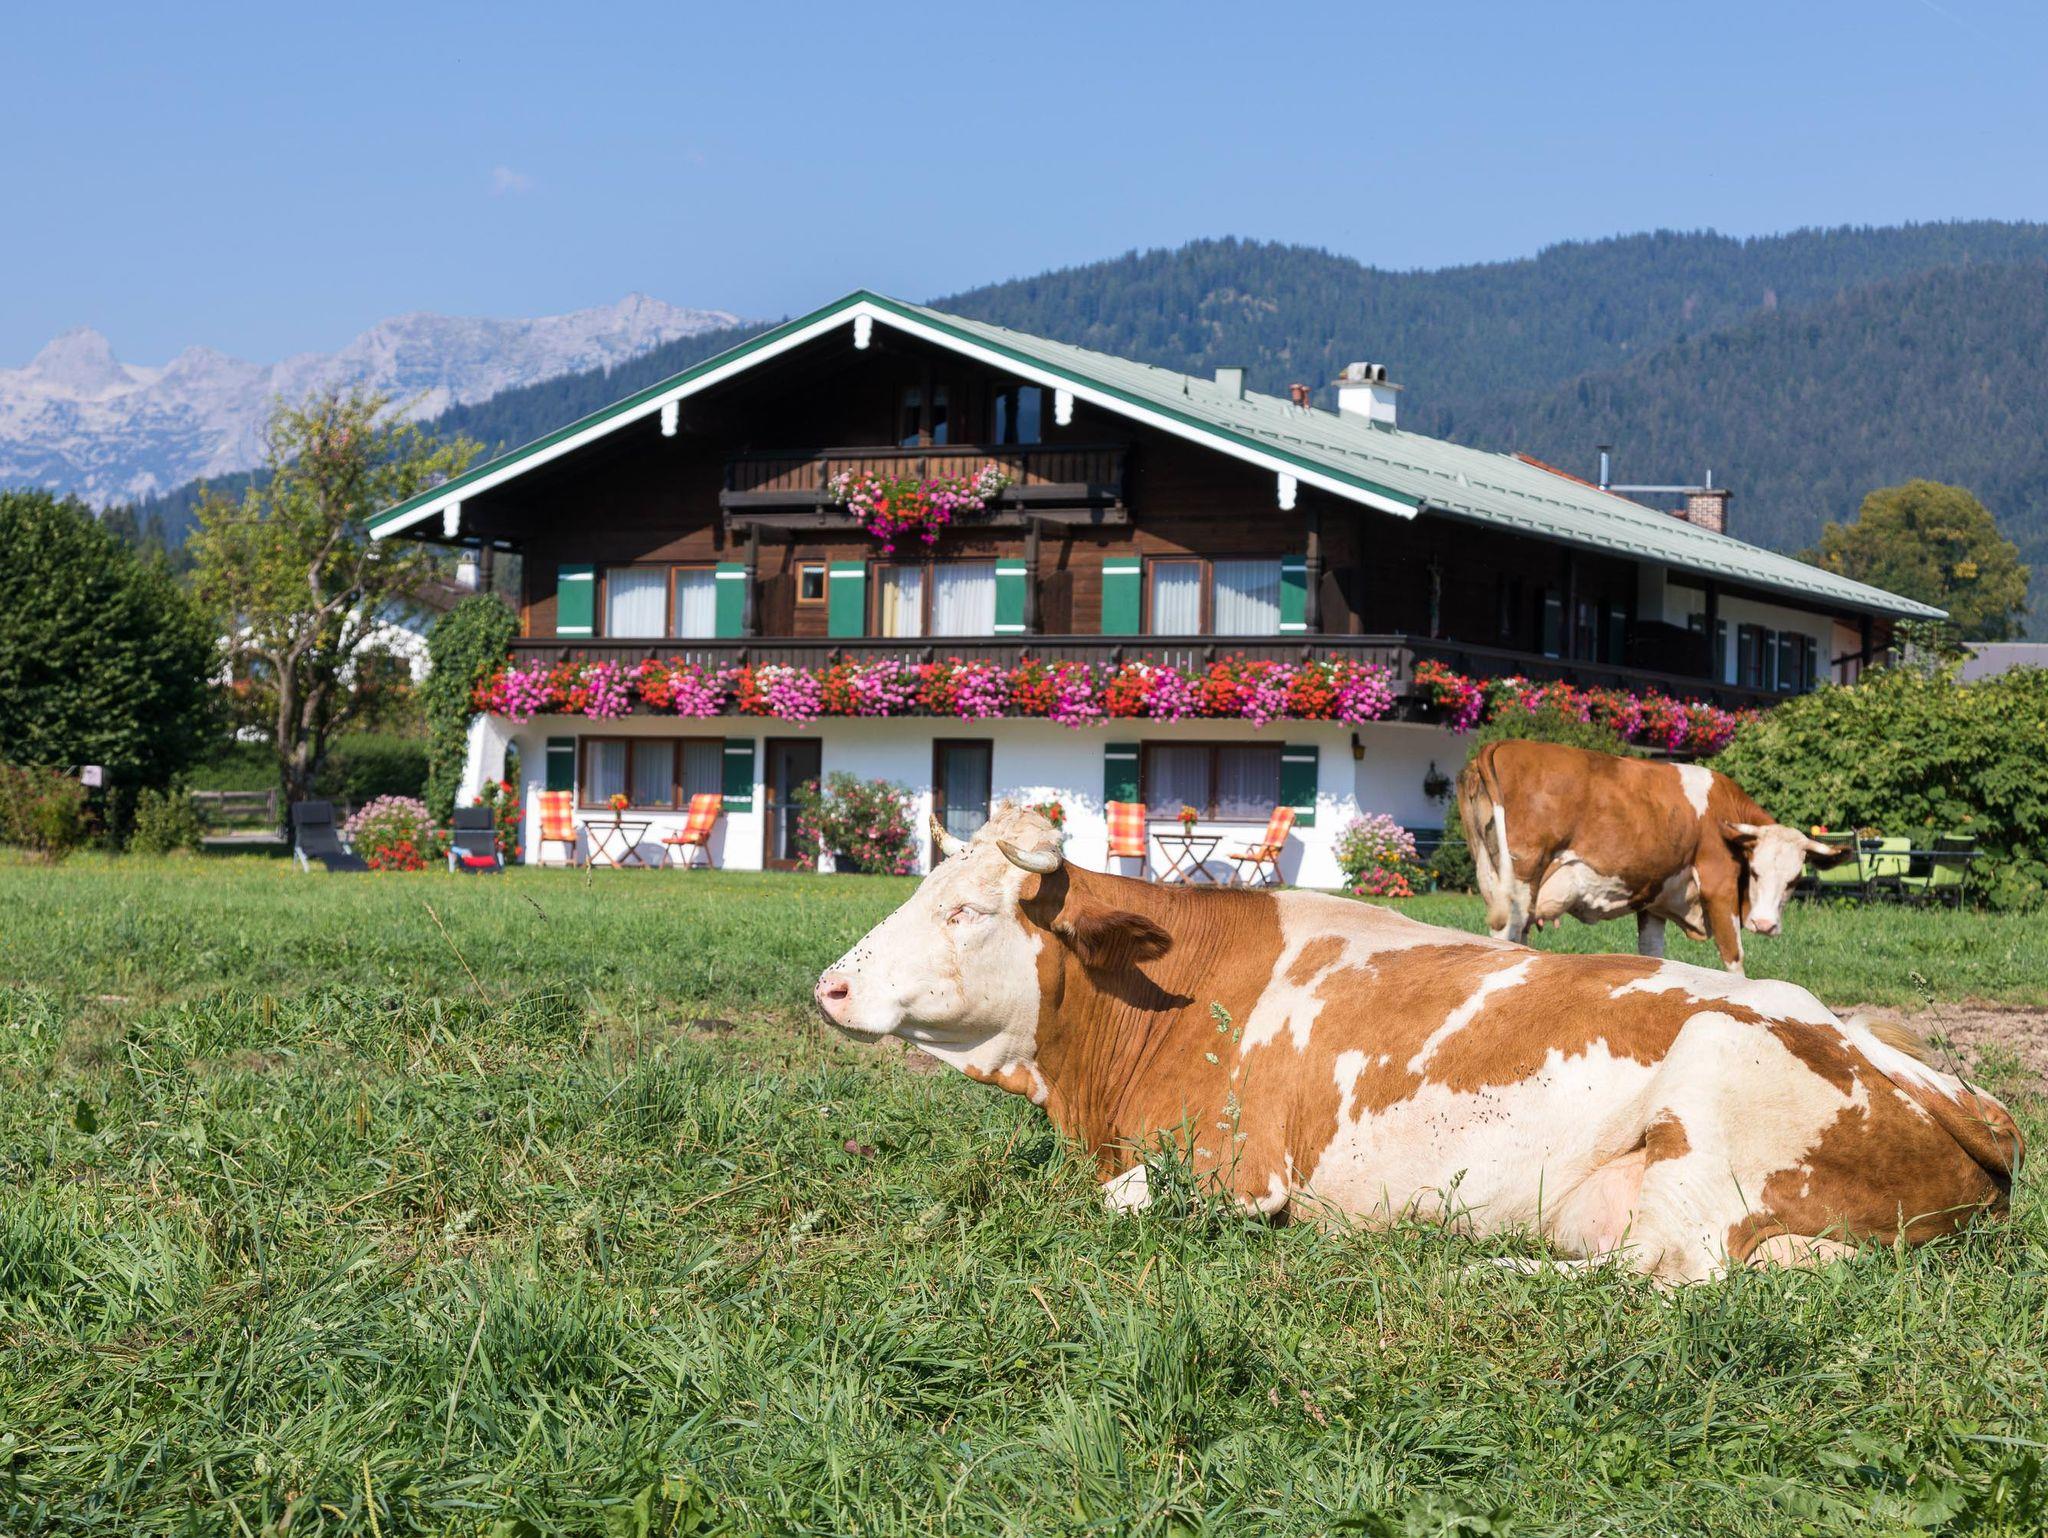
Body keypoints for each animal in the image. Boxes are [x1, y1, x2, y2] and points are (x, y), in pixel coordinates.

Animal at [814, 805, 2020, 1284]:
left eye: (967, 909)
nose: (830, 985)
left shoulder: (1237, 1171)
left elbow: (1113, 1205)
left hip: (1706, 1122)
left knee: (1663, 1272)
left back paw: (1469, 1259)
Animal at [1457, 740, 1852, 974]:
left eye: (1794, 880)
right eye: (1753, 872)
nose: (1765, 924)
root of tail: (1503, 744)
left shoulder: (1654, 900)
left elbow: (1651, 953)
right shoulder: (1718, 886)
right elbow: (1734, 957)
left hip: (1493, 875)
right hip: (1523, 879)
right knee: (1508, 934)